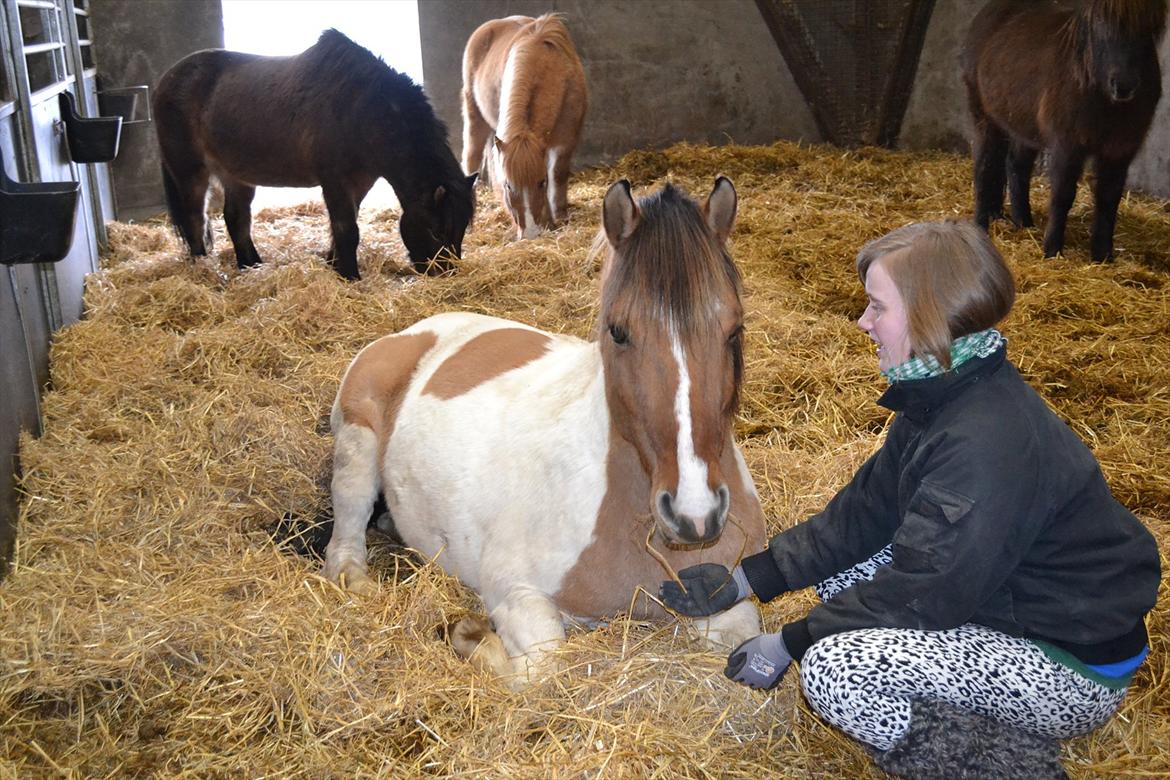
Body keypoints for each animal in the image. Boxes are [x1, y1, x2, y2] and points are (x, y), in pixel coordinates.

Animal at [154, 30, 475, 280]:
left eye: (461, 228)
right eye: (437, 230)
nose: (445, 272)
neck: (359, 108)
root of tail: (166, 81)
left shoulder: (360, 181)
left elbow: (345, 224)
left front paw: (335, 265)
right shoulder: (335, 180)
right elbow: (347, 228)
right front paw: (350, 276)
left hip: (236, 175)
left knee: (236, 219)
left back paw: (251, 266)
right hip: (191, 173)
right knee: (195, 220)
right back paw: (203, 270)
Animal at [325, 178, 767, 687]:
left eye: (734, 330)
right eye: (617, 331)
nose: (696, 516)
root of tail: (416, 331)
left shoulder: (724, 599)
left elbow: (741, 636)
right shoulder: (515, 591)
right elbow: (545, 664)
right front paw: (466, 634)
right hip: (356, 449)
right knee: (344, 543)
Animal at [964, 0, 1165, 264]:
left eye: (1149, 27)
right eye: (1099, 21)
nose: (1124, 85)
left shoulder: (1119, 150)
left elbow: (1109, 197)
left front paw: (1103, 256)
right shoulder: (1068, 146)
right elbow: (1062, 195)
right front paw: (1052, 251)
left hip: (1023, 128)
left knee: (1015, 166)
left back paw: (1022, 222)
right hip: (984, 117)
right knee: (984, 167)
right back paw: (981, 225)